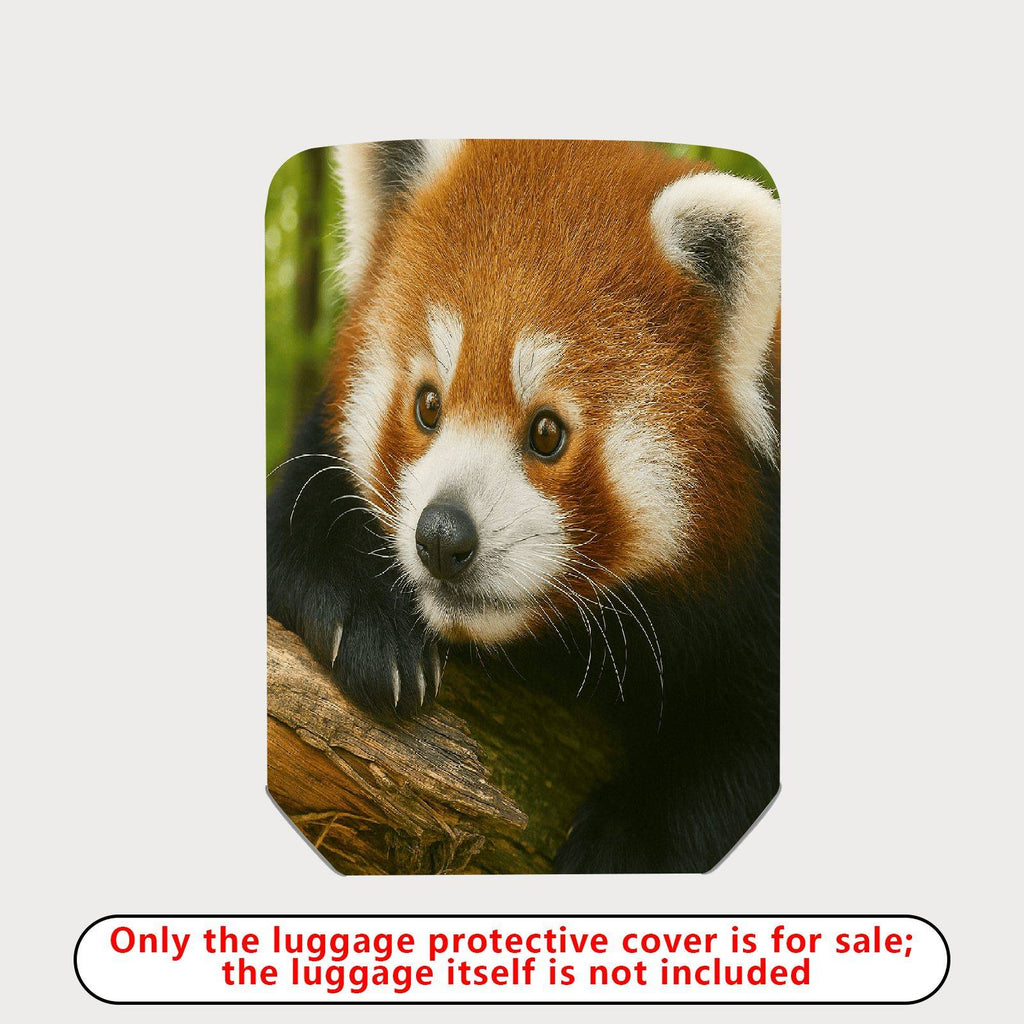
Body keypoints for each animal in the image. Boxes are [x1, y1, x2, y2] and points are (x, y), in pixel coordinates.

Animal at [267, 139, 780, 874]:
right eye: (428, 405)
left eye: (546, 432)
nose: (442, 536)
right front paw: (366, 621)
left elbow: (743, 747)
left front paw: (620, 843)